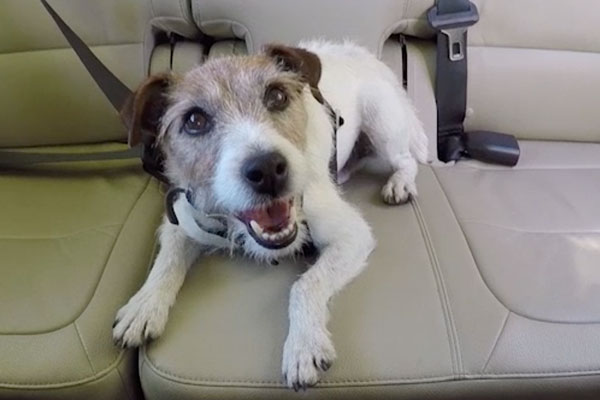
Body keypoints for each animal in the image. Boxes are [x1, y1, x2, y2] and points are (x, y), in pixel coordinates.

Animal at [110, 39, 424, 390]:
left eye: (277, 96)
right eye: (194, 120)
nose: (268, 169)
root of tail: (357, 52)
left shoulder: (351, 235)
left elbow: (305, 284)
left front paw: (303, 345)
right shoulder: (182, 215)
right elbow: (167, 259)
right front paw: (144, 304)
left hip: (382, 124)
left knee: (407, 159)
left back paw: (400, 183)